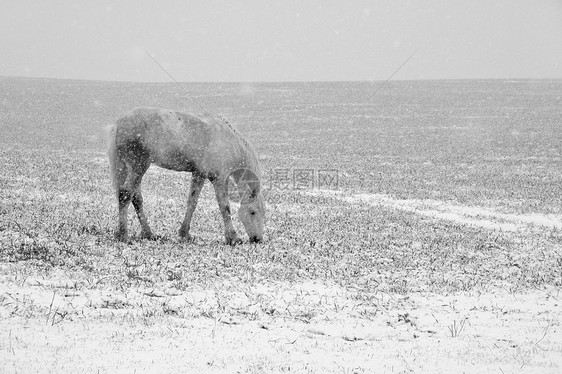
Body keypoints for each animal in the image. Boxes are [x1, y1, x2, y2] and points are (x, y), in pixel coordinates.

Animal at [107, 106, 264, 244]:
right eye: (253, 212)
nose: (257, 239)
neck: (229, 141)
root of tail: (119, 123)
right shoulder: (219, 179)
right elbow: (224, 207)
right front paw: (232, 238)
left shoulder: (199, 174)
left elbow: (192, 203)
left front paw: (185, 234)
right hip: (138, 167)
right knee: (125, 194)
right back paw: (124, 236)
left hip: (131, 169)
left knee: (136, 198)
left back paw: (148, 234)